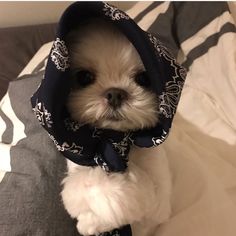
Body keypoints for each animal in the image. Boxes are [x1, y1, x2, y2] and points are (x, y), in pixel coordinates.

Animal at [60, 18, 171, 236]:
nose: (115, 94)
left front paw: (90, 221)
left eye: (143, 79)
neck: (117, 141)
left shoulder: (160, 201)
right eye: (84, 77)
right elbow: (84, 182)